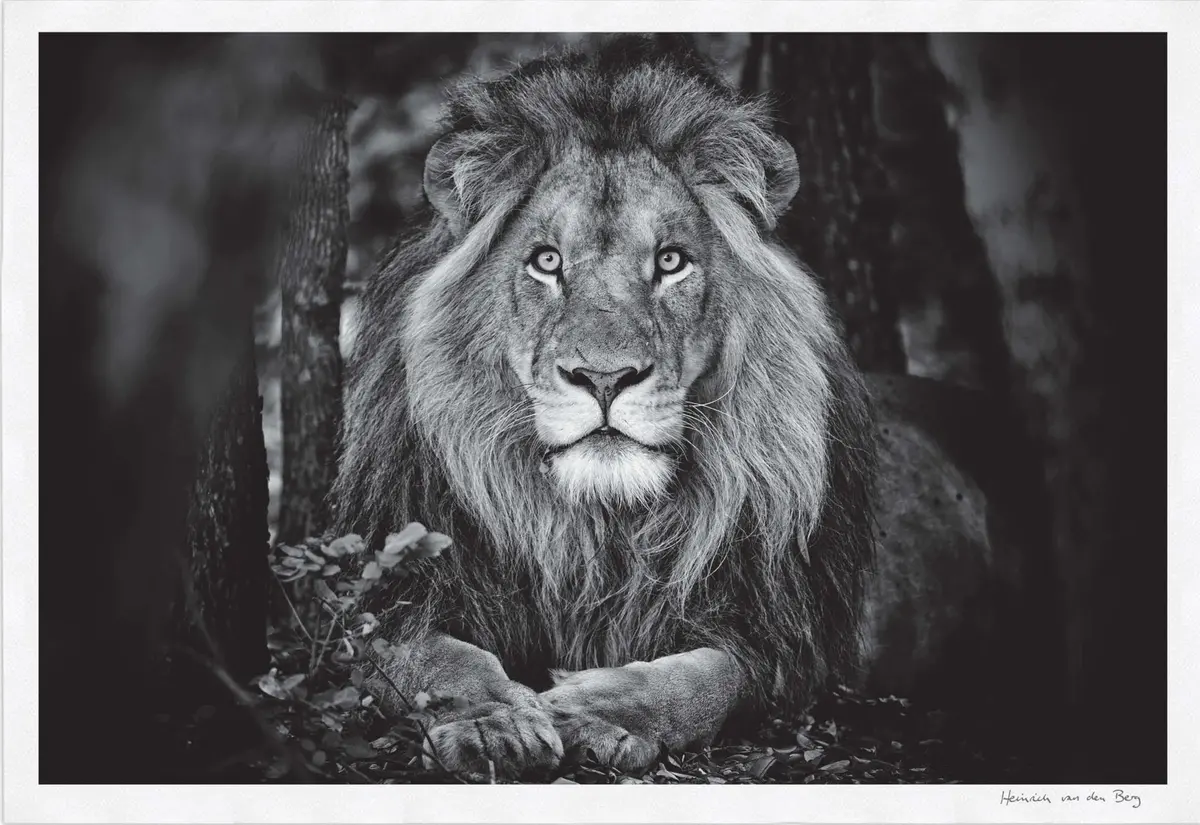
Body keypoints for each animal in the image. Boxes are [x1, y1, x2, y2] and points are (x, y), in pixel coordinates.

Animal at [333, 37, 1021, 777]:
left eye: (670, 261)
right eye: (546, 261)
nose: (604, 377)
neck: (596, 531)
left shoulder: (777, 641)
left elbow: (705, 678)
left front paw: (595, 710)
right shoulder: (394, 594)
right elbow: (433, 658)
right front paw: (492, 723)